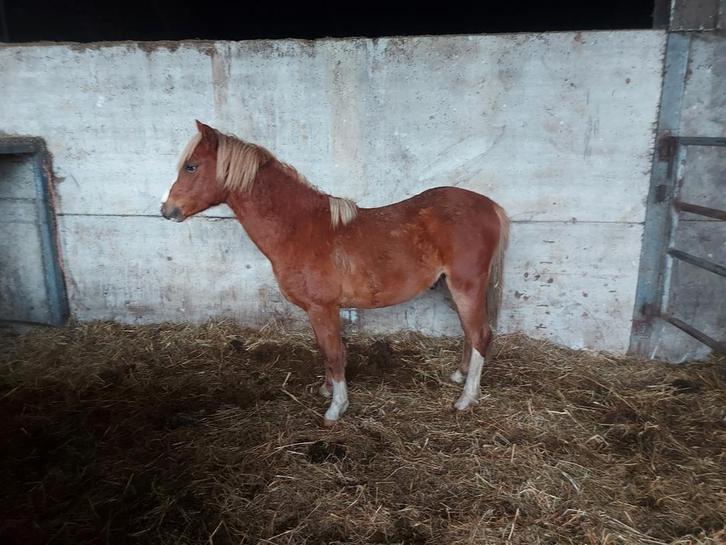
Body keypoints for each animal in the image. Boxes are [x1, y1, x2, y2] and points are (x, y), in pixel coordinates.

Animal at [161, 121, 509, 426]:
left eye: (191, 166)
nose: (167, 210)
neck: (299, 229)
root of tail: (489, 206)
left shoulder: (323, 307)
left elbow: (334, 352)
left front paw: (335, 408)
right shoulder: (318, 311)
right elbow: (324, 350)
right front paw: (327, 390)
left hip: (466, 286)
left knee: (480, 334)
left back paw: (465, 399)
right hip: (452, 287)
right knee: (468, 331)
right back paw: (459, 376)